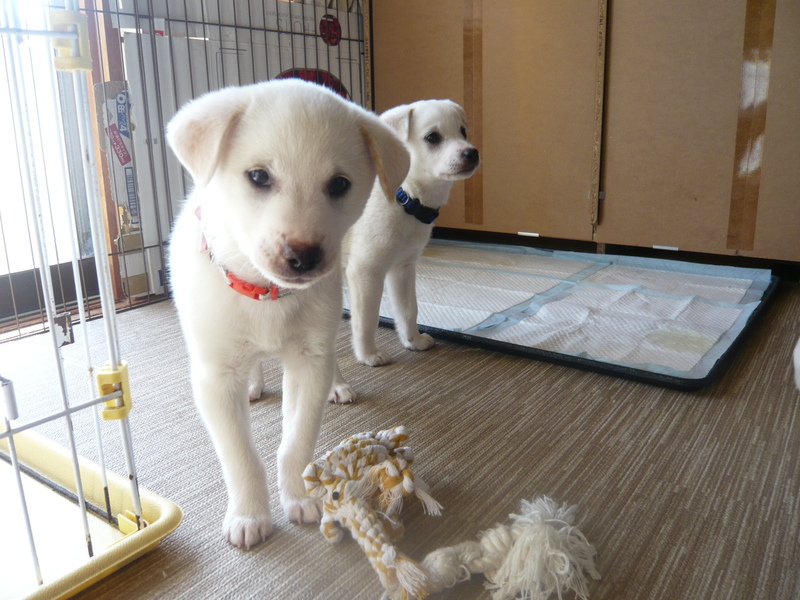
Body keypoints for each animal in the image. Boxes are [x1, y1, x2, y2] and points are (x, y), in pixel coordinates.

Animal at [167, 79, 409, 548]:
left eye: (339, 184)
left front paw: (299, 497)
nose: (304, 257)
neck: (266, 294)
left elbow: (297, 441)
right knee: (253, 368)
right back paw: (253, 385)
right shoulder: (214, 377)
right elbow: (240, 455)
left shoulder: (308, 361)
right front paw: (248, 515)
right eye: (259, 176)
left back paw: (339, 385)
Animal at [329, 100, 480, 402]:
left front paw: (414, 340)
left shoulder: (403, 268)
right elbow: (367, 318)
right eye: (432, 137)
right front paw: (368, 355)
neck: (405, 197)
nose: (472, 153)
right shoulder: (366, 270)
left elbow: (408, 309)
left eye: (463, 131)